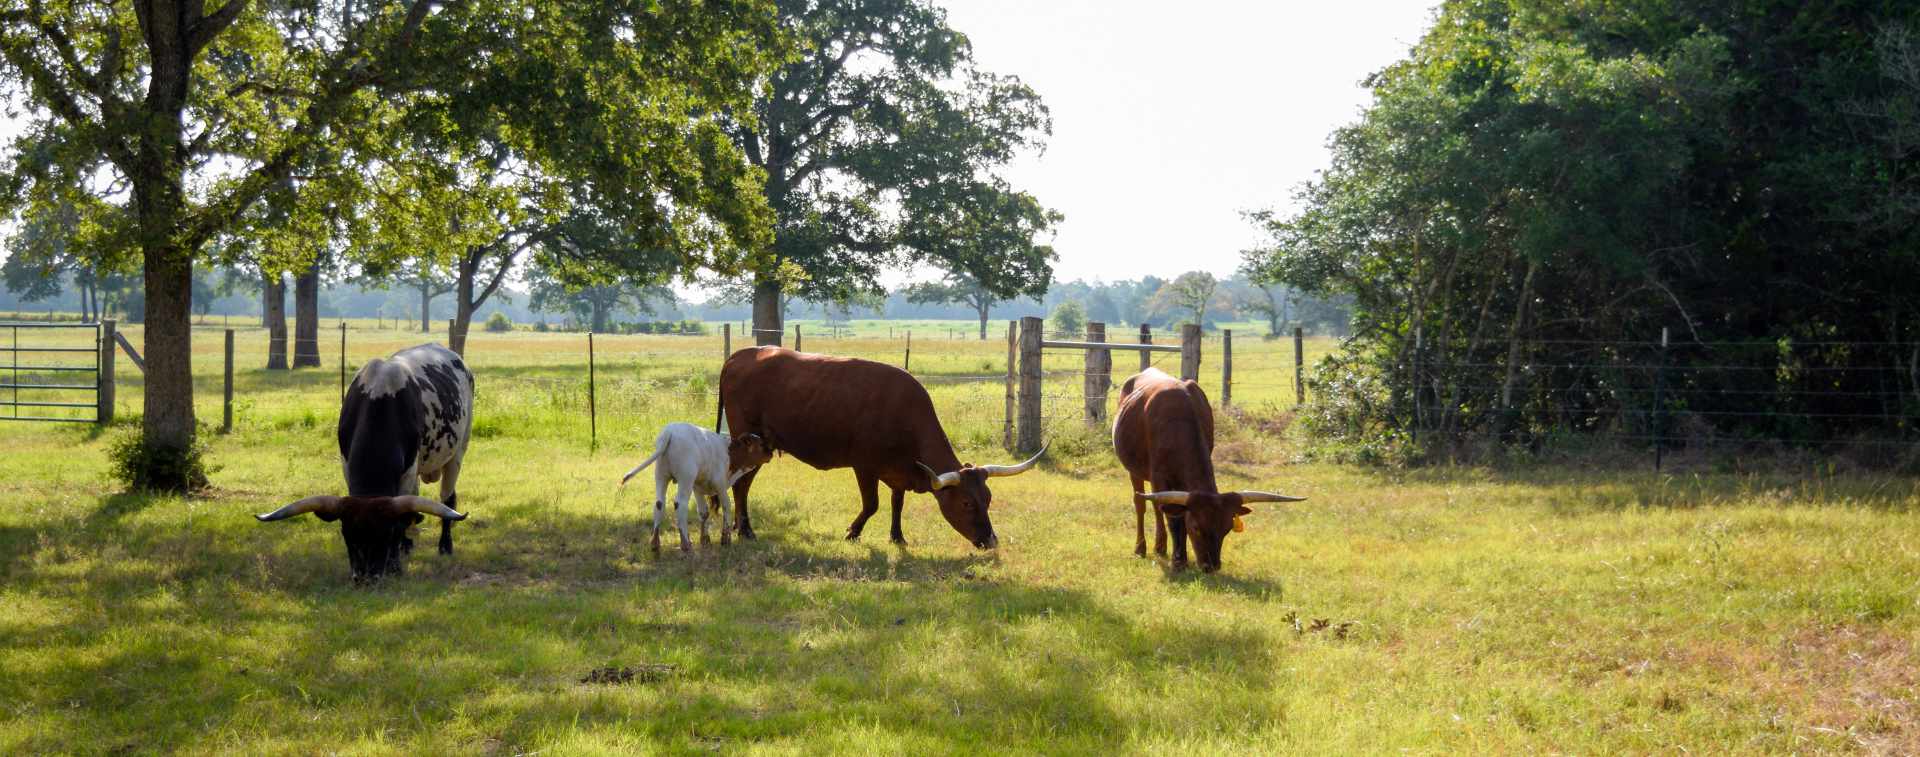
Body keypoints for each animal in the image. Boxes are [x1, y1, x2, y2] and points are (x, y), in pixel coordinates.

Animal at [255, 343, 474, 582]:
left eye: (386, 533)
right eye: (346, 534)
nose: (365, 578)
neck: (380, 398)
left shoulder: (407, 472)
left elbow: (403, 517)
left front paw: (394, 564)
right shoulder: (347, 464)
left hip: (458, 452)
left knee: (447, 499)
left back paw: (445, 546)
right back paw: (408, 545)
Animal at [619, 423, 773, 554]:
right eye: (760, 444)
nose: (770, 453)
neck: (730, 455)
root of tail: (670, 431)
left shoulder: (697, 487)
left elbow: (703, 512)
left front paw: (705, 540)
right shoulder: (720, 485)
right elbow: (727, 507)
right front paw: (725, 540)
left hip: (661, 475)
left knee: (659, 504)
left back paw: (655, 544)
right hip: (685, 478)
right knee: (680, 504)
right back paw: (686, 545)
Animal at [717, 346, 1044, 549]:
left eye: (987, 498)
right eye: (965, 503)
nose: (991, 542)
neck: (903, 412)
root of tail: (741, 354)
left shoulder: (899, 470)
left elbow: (897, 502)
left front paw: (897, 536)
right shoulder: (865, 466)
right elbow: (872, 504)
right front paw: (852, 532)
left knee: (743, 484)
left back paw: (739, 527)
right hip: (750, 443)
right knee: (742, 485)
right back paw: (746, 530)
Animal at [1112, 367, 1305, 572]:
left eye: (1226, 529)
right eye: (1196, 527)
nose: (1211, 566)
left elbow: (1173, 513)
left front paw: (1180, 557)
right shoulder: (1159, 477)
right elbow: (1174, 520)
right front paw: (1178, 560)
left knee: (1158, 508)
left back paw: (1160, 547)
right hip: (1135, 472)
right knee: (1142, 505)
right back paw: (1141, 548)